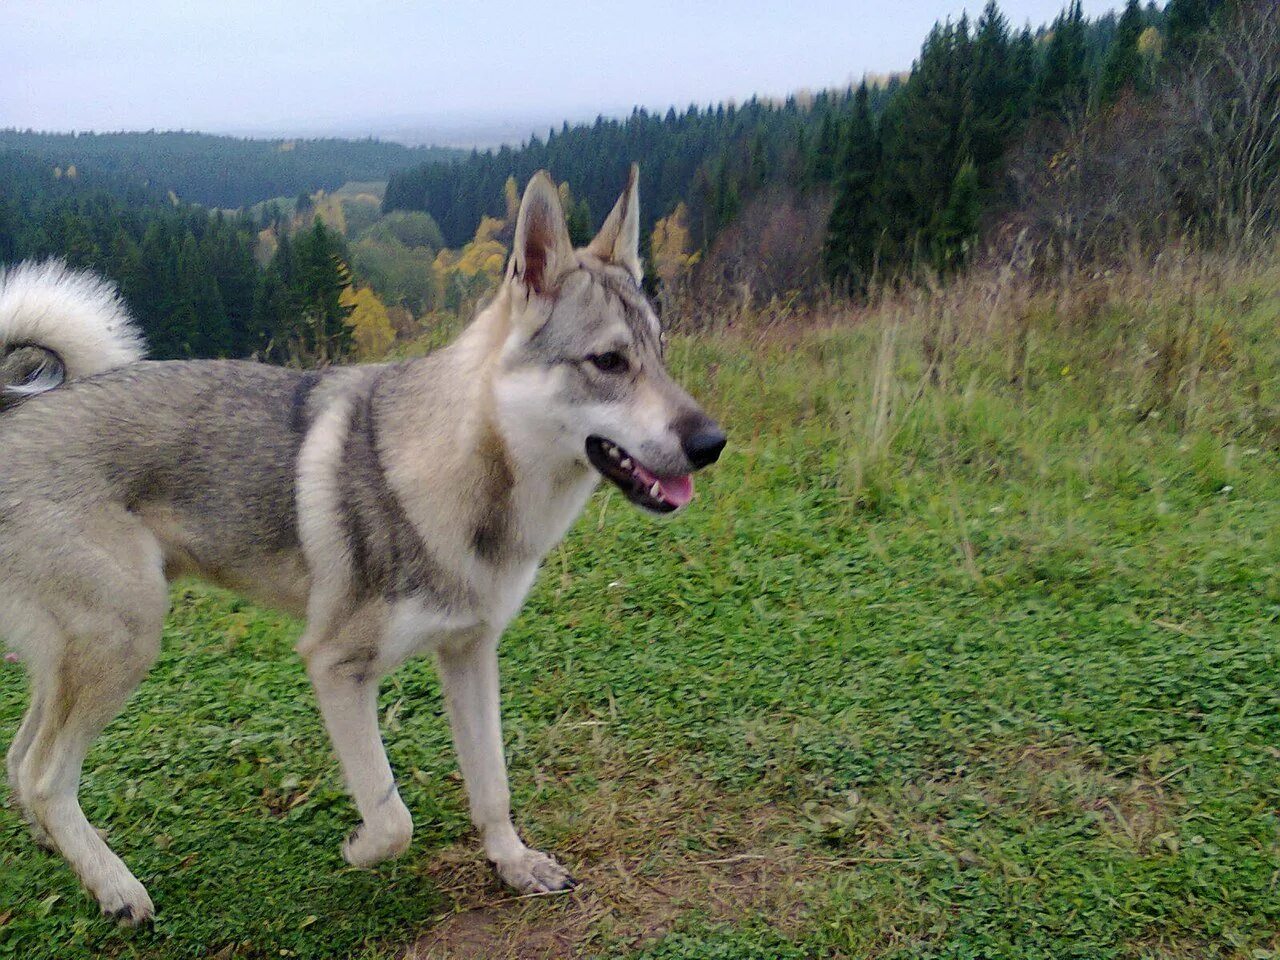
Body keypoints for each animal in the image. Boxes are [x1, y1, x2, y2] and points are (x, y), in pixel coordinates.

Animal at [0, 168, 721, 926]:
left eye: (661, 354)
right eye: (608, 361)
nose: (713, 443)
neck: (469, 476)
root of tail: (15, 414)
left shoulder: (471, 654)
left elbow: (492, 783)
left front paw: (513, 863)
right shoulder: (335, 667)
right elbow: (392, 814)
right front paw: (357, 849)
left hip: (81, 659)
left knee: (22, 761)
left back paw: (64, 852)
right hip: (127, 642)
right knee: (46, 774)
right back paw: (117, 888)